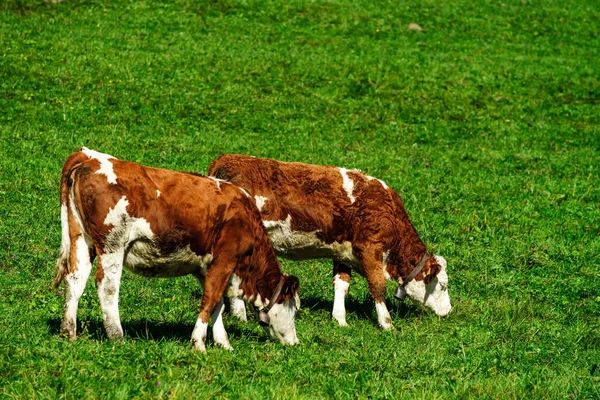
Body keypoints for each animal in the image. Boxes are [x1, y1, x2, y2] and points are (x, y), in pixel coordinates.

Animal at [52, 148, 300, 352]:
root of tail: (90, 157)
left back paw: (68, 331)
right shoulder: (225, 259)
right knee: (107, 287)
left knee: (75, 279)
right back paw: (117, 336)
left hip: (81, 240)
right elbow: (210, 299)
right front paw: (199, 343)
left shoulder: (205, 266)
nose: (295, 342)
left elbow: (217, 303)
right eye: (295, 309)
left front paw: (223, 343)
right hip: (112, 244)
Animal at [206, 155, 450, 330]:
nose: (448, 312)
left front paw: (340, 319)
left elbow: (342, 284)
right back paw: (240, 314)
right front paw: (386, 323)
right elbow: (378, 286)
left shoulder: (343, 253)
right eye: (443, 285)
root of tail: (227, 159)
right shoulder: (370, 248)